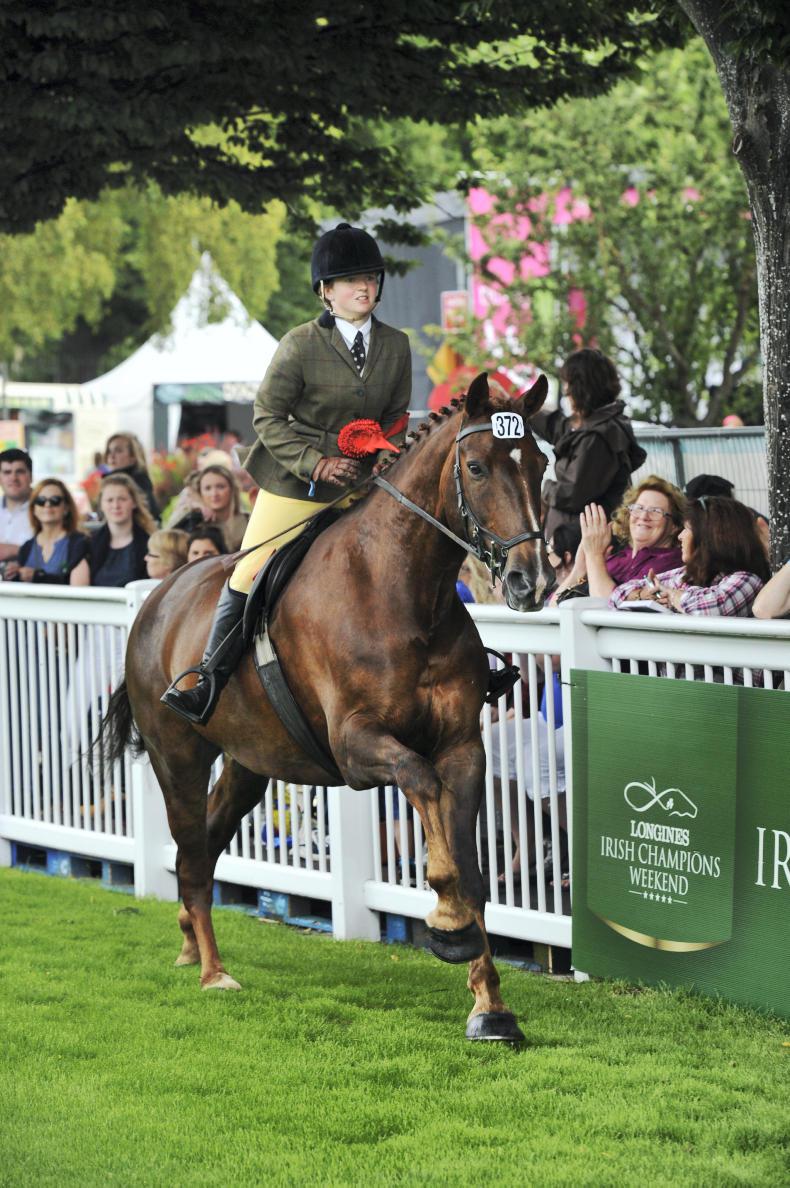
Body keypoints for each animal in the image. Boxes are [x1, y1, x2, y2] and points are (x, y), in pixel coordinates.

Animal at [100, 370, 553, 1040]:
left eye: (540, 464)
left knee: (202, 847)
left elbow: (471, 865)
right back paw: (212, 971)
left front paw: (490, 1006)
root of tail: (158, 595)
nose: (530, 581)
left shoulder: (463, 747)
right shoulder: (357, 745)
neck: (406, 591)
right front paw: (447, 921)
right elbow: (421, 782)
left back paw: (188, 941)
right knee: (190, 854)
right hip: (176, 757)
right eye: (475, 466)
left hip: (248, 765)